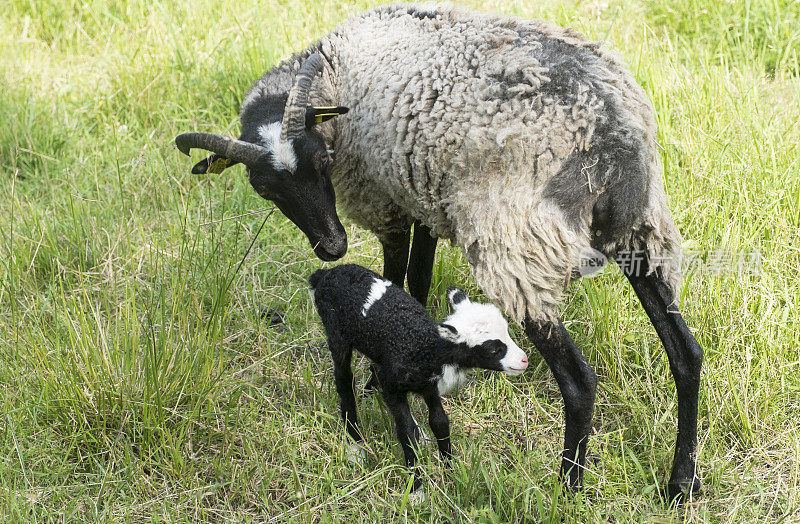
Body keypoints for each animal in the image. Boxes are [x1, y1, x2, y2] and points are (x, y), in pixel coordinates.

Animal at [310, 264, 528, 490]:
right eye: (492, 349)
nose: (524, 360)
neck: (421, 345)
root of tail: (326, 273)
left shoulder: (429, 385)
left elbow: (440, 423)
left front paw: (449, 471)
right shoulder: (392, 388)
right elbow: (406, 432)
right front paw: (416, 487)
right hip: (336, 333)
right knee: (344, 381)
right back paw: (355, 445)